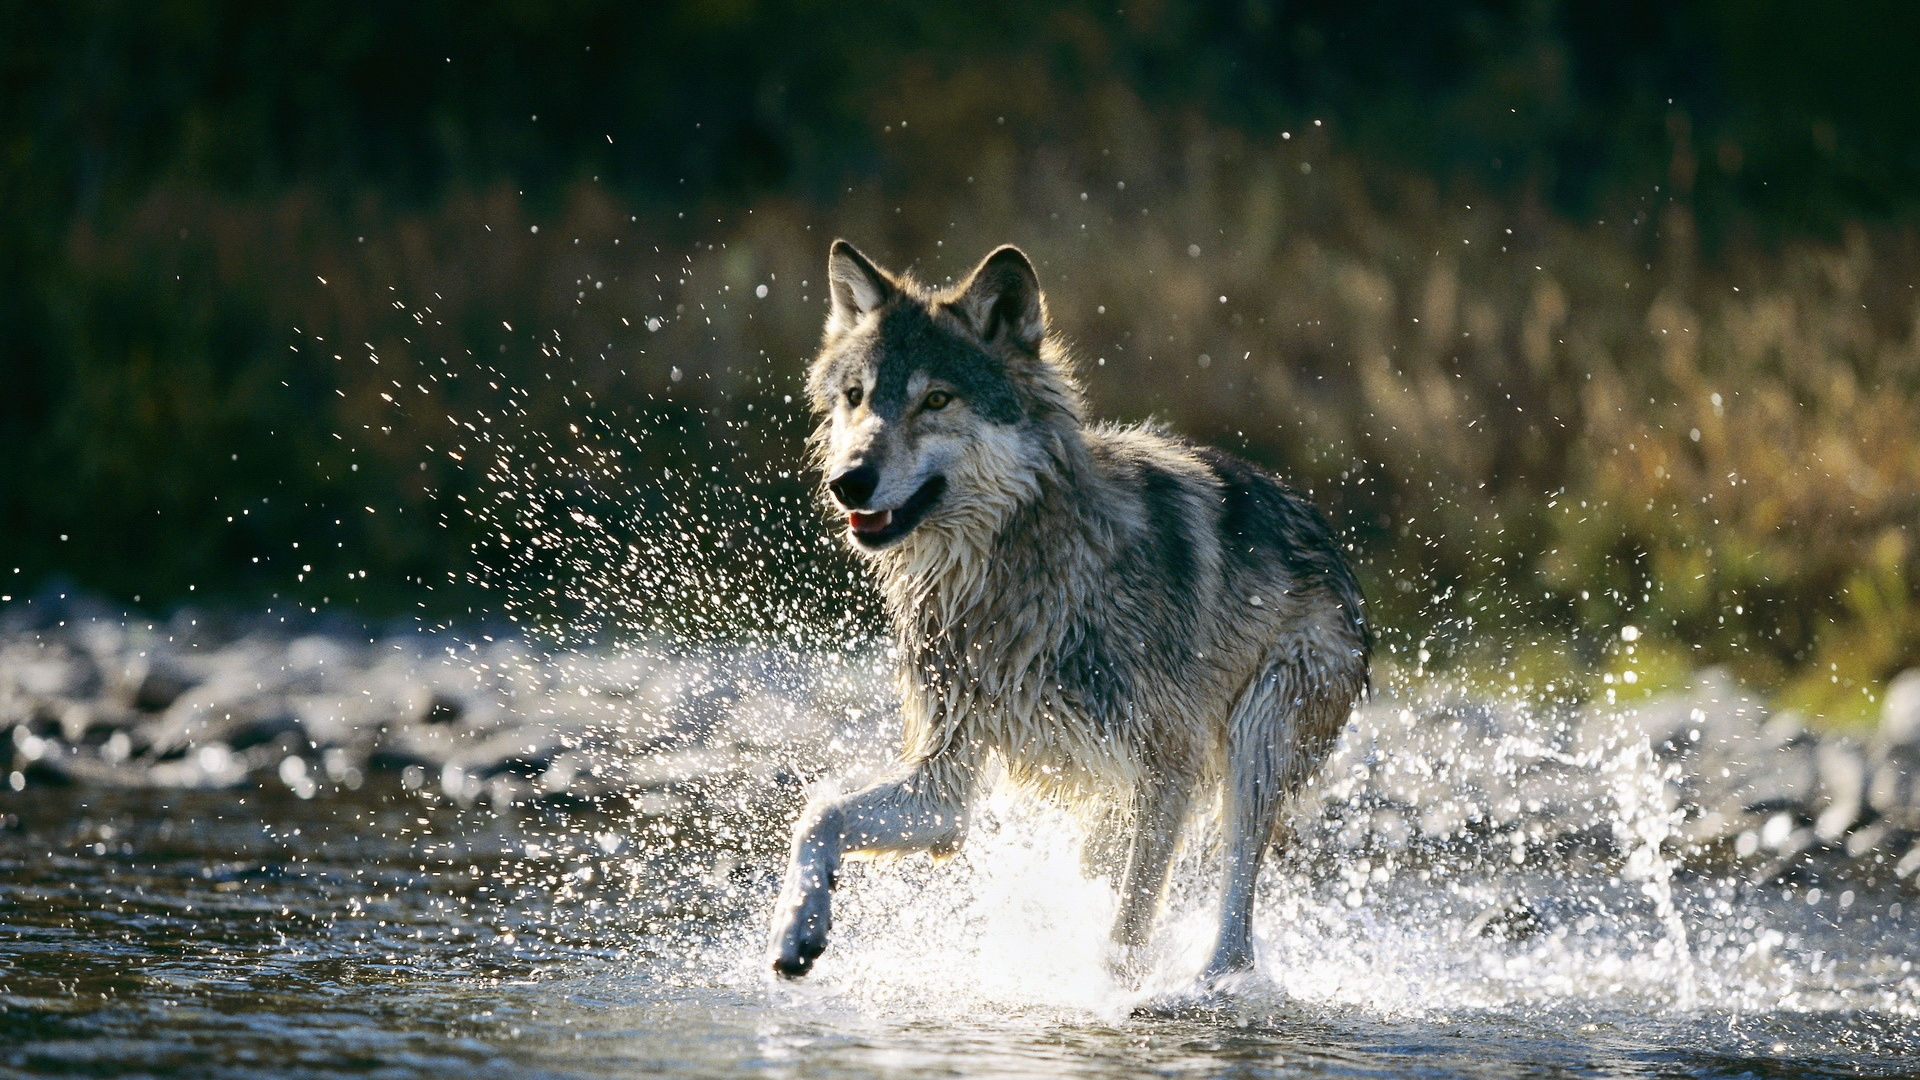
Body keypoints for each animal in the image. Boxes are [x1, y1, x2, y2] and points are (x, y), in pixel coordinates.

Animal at [760, 239, 1367, 980]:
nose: (848, 481)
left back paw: (1209, 983)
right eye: (856, 398)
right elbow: (817, 814)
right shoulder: (943, 789)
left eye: (936, 399)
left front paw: (1113, 994)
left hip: (1252, 748)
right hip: (1111, 807)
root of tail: (1332, 544)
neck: (1012, 584)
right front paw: (795, 930)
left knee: (1236, 936)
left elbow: (1126, 933)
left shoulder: (1167, 771)